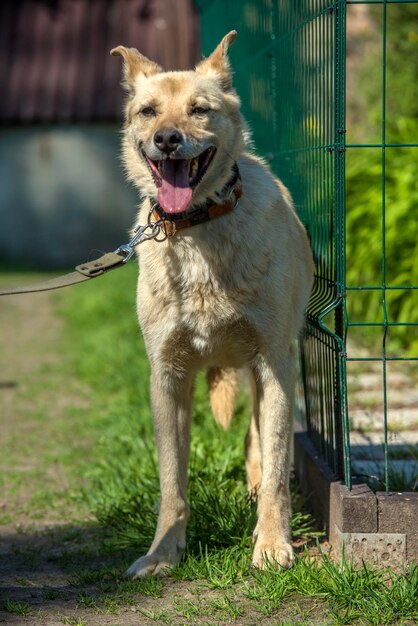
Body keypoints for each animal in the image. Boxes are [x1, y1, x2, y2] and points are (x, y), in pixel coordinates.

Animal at [111, 30, 314, 576]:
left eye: (200, 110)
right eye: (148, 112)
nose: (167, 139)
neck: (197, 227)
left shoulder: (273, 361)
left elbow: (276, 465)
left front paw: (273, 543)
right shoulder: (167, 376)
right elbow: (172, 484)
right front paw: (163, 553)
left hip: (274, 369)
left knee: (262, 442)